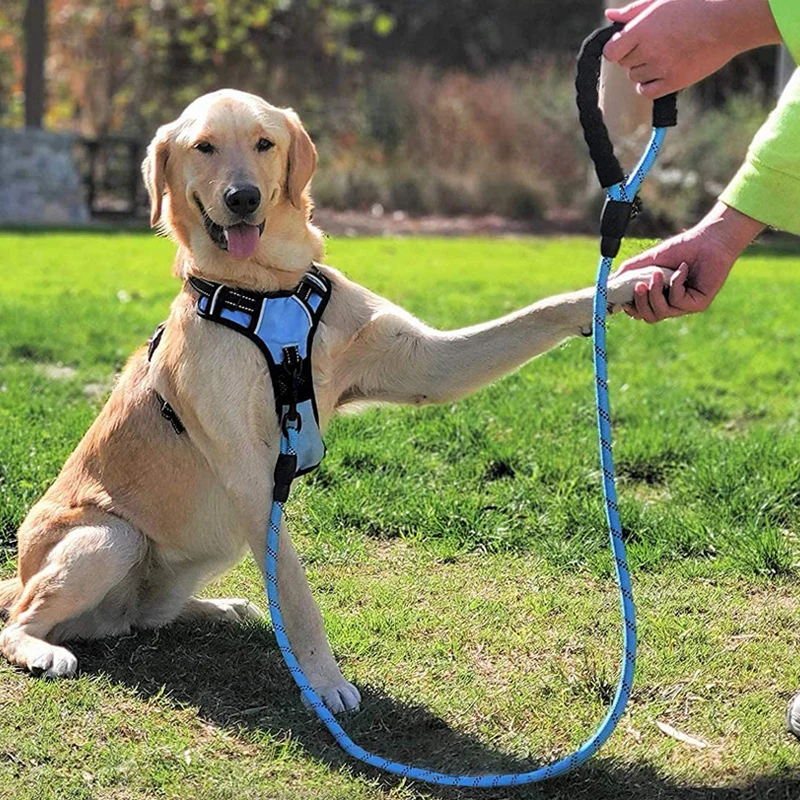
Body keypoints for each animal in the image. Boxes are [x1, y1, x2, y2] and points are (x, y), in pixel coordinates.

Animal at [0, 89, 668, 712]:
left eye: (264, 143)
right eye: (203, 147)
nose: (243, 197)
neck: (267, 289)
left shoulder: (424, 362)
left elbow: (540, 312)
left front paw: (627, 282)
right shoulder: (251, 474)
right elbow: (297, 594)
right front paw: (323, 683)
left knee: (142, 616)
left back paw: (218, 607)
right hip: (111, 539)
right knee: (22, 622)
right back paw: (43, 649)